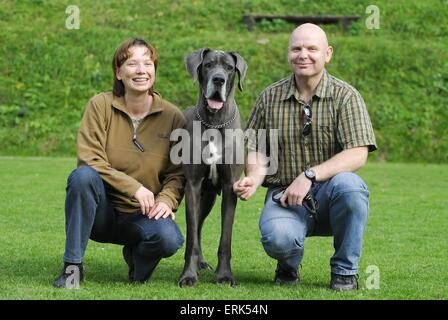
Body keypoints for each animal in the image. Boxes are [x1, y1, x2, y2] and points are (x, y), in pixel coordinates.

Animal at [178, 48, 248, 286]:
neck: (215, 123)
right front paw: (188, 275)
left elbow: (225, 238)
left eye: (229, 67)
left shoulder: (230, 186)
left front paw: (225, 275)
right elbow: (191, 238)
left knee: (199, 224)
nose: (219, 79)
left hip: (209, 196)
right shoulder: (193, 185)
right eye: (208, 64)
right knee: (196, 228)